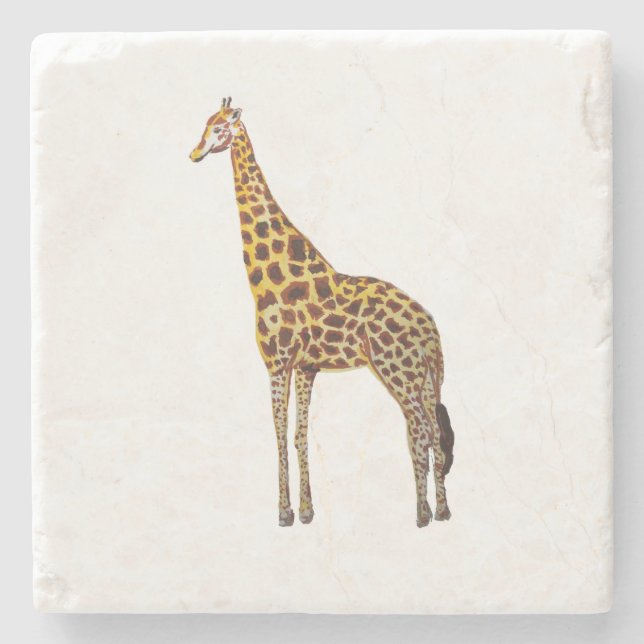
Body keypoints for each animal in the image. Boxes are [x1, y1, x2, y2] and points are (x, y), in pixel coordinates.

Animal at [190, 97, 455, 528]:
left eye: (220, 128)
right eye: (205, 123)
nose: (194, 153)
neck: (268, 276)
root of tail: (431, 327)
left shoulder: (277, 362)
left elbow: (280, 434)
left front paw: (284, 513)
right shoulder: (306, 367)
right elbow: (300, 435)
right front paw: (307, 511)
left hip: (397, 370)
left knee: (420, 431)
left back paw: (421, 514)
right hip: (425, 377)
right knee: (434, 431)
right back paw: (443, 511)